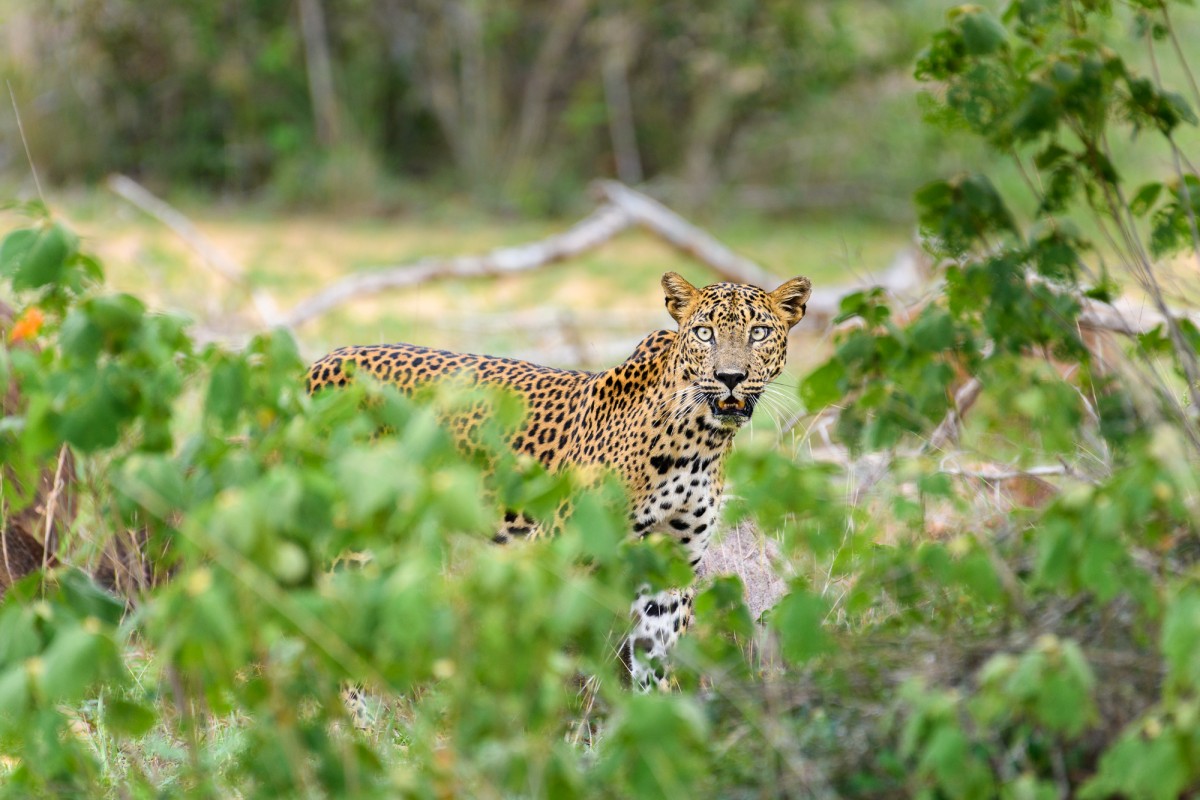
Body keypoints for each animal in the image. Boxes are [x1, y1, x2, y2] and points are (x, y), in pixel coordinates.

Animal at [307, 272, 816, 690]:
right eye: (704, 333)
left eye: (759, 332)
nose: (730, 377)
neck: (698, 444)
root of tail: (318, 363)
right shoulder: (557, 552)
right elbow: (545, 654)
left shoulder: (670, 572)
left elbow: (655, 668)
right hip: (349, 546)